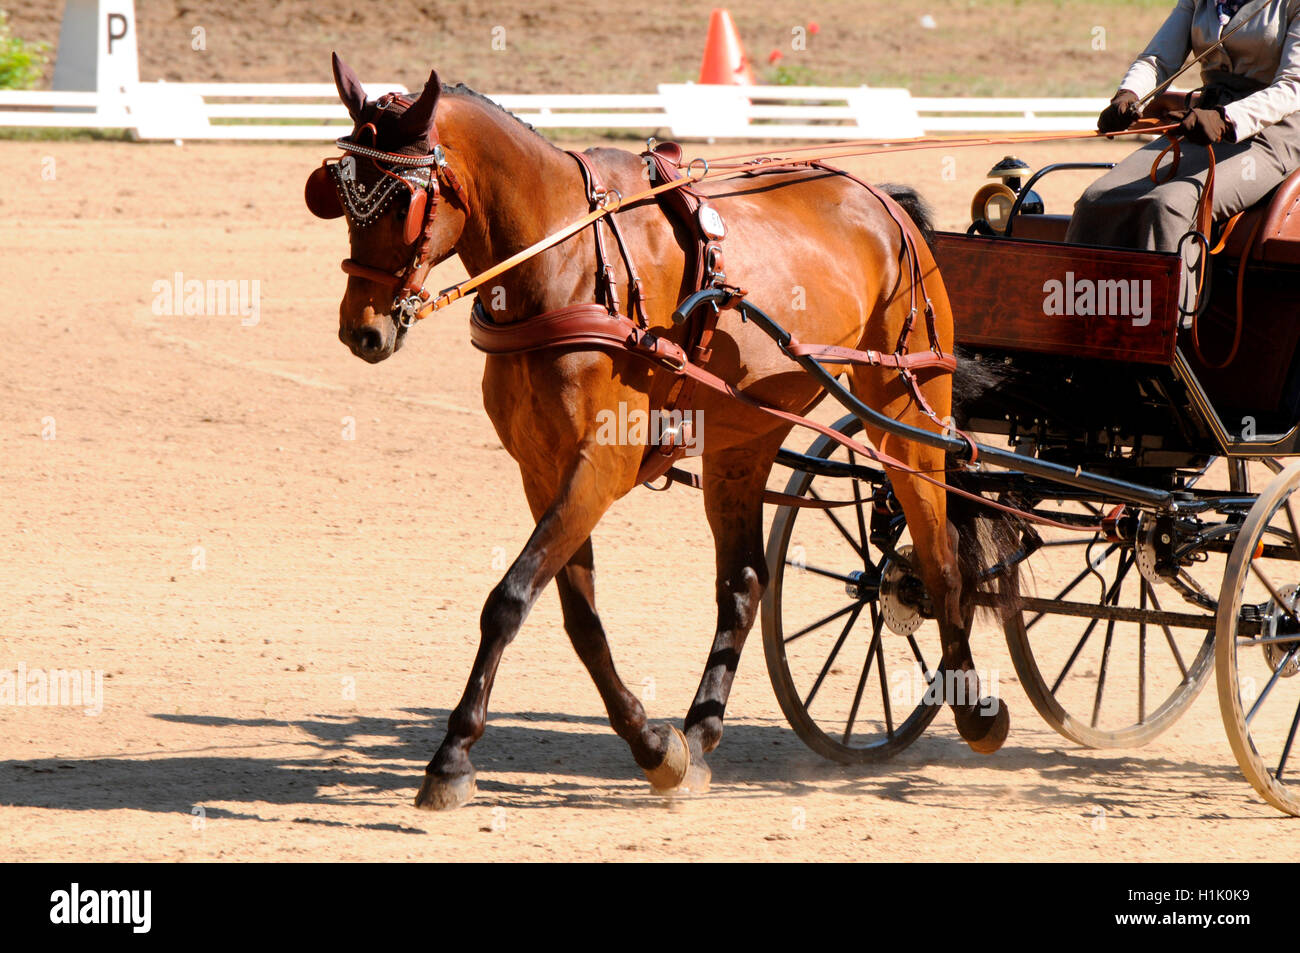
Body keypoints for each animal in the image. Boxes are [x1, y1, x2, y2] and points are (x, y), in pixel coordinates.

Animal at [314, 54, 1010, 810]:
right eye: (341, 194)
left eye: (401, 200)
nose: (362, 331)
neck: (567, 262)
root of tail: (884, 202)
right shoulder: (543, 469)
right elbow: (579, 617)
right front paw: (656, 747)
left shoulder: (601, 464)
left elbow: (508, 599)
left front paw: (450, 757)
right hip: (744, 439)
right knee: (743, 581)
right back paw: (701, 733)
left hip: (906, 410)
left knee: (939, 555)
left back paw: (974, 707)